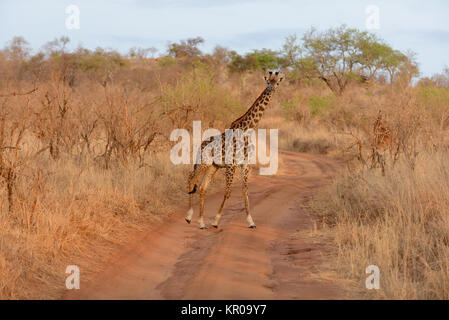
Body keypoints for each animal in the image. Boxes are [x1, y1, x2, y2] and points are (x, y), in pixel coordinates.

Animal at [185, 70, 284, 230]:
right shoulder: (231, 165)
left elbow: (245, 191)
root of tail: (201, 145)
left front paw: (251, 222)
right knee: (191, 178)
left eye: (277, 82)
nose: (271, 89)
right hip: (203, 162)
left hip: (213, 167)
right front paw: (216, 221)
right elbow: (228, 192)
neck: (247, 129)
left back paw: (201, 223)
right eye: (268, 81)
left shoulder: (245, 164)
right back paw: (189, 217)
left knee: (202, 188)